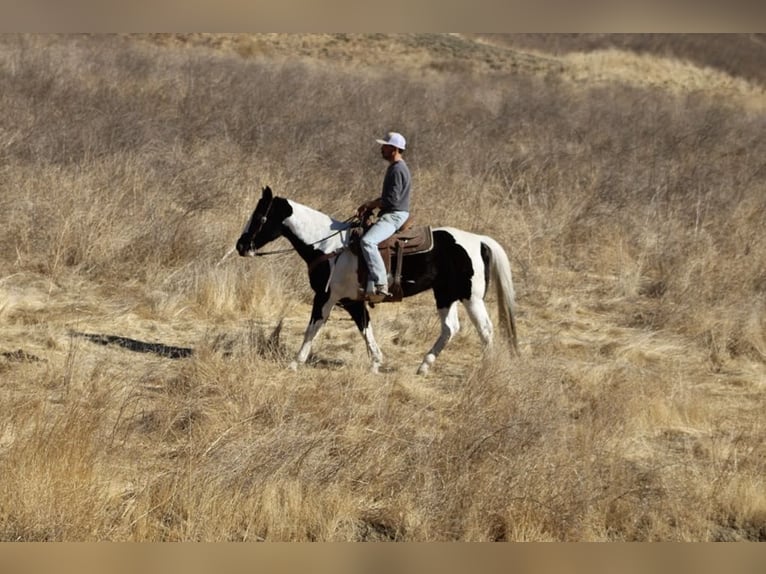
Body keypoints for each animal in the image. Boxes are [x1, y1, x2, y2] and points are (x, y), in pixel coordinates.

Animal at [235, 186, 519, 375]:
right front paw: (376, 362)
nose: (241, 246)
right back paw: (423, 366)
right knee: (450, 328)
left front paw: (295, 362)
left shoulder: (325, 297)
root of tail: (479, 240)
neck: (328, 248)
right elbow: (365, 328)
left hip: (471, 298)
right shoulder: (352, 301)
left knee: (485, 330)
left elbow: (313, 327)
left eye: (260, 217)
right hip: (445, 295)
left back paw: (485, 369)